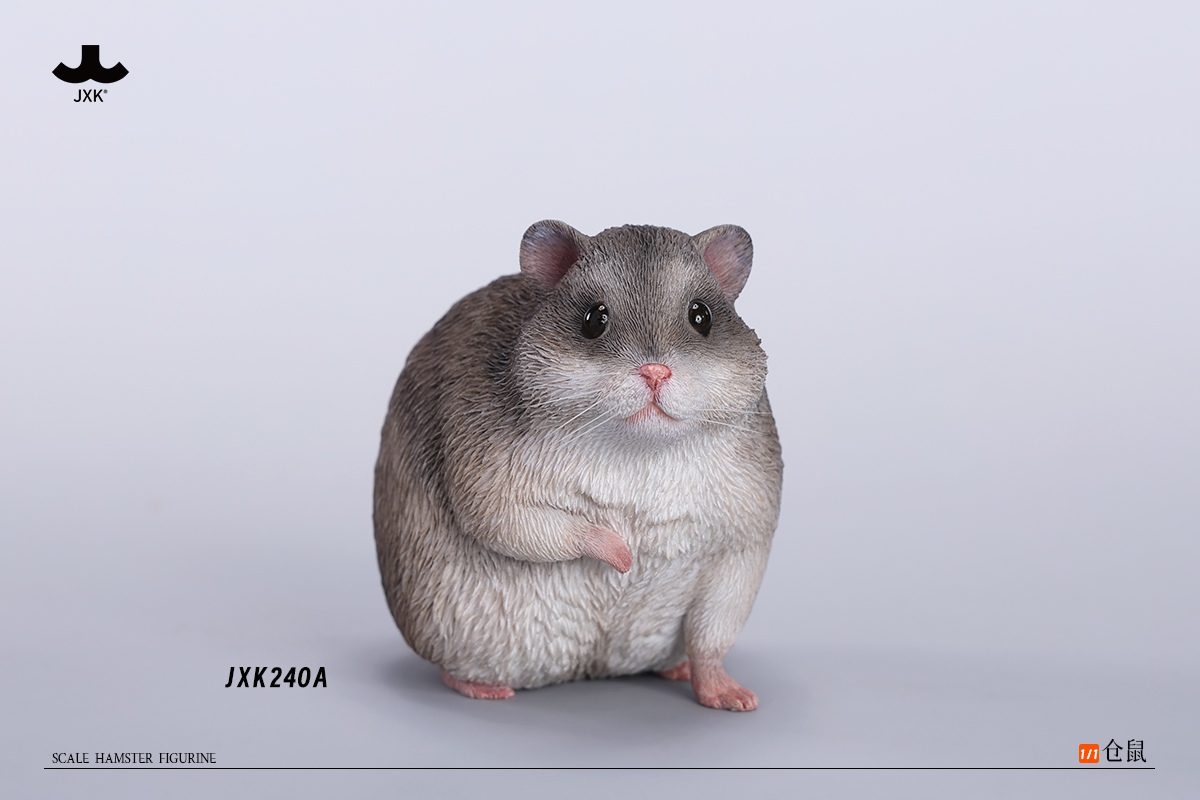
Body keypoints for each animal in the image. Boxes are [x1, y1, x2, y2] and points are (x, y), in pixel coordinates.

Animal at [373, 221, 783, 711]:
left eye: (701, 316)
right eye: (593, 319)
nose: (655, 372)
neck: (639, 449)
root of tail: (591, 668)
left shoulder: (745, 533)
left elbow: (713, 634)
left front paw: (734, 697)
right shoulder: (485, 474)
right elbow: (528, 525)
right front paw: (625, 557)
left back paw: (679, 670)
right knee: (453, 668)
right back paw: (483, 688)